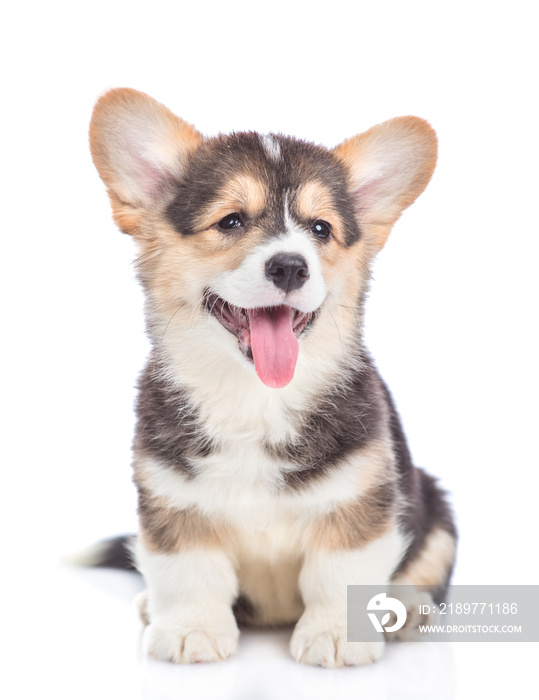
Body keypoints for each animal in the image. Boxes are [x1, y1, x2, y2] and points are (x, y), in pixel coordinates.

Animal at [87, 87, 456, 668]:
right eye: (231, 222)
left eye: (320, 229)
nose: (290, 266)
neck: (254, 398)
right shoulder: (172, 501)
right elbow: (188, 573)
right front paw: (191, 629)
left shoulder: (360, 500)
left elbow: (338, 573)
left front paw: (336, 635)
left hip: (435, 506)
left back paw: (409, 609)